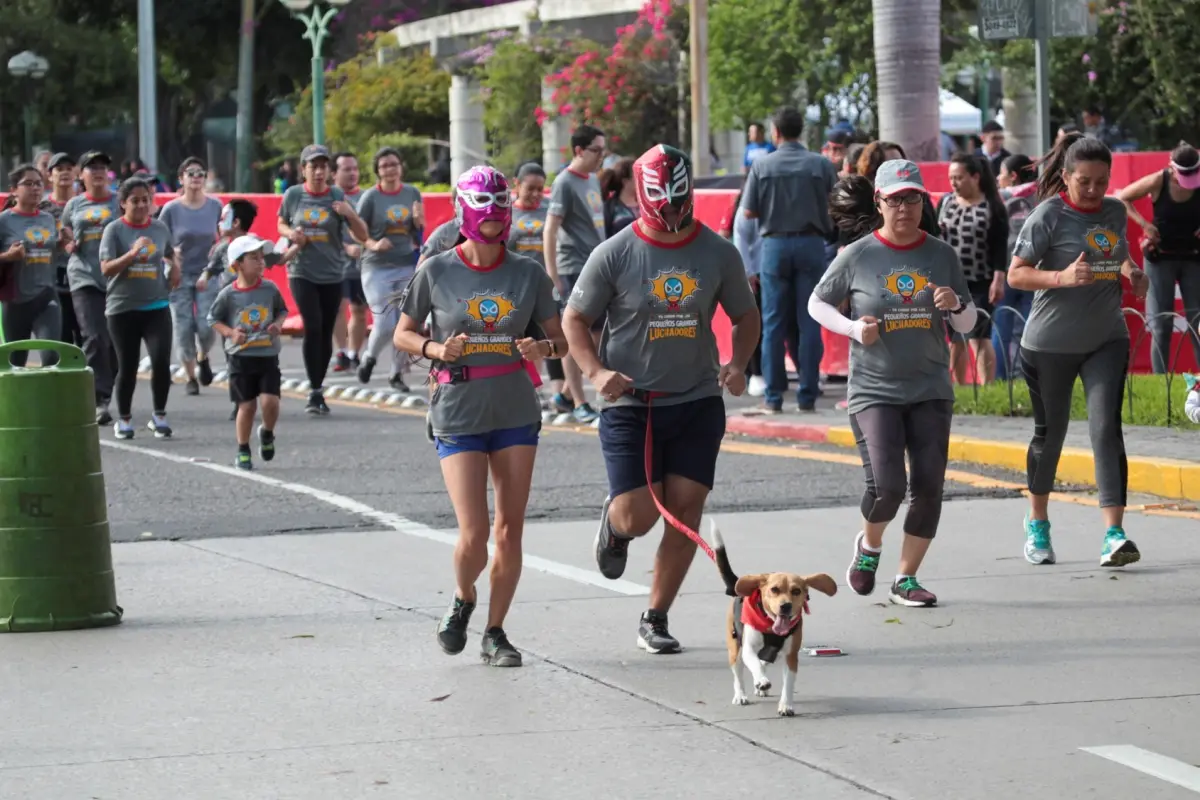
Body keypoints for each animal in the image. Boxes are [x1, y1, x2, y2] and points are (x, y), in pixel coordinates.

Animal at [710, 522, 835, 714]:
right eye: (774, 589)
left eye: (796, 591)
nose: (786, 606)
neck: (770, 625)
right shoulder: (748, 649)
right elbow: (754, 663)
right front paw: (761, 681)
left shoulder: (791, 656)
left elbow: (788, 684)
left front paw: (786, 705)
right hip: (735, 649)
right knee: (739, 674)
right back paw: (742, 694)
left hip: (770, 653)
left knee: (763, 662)